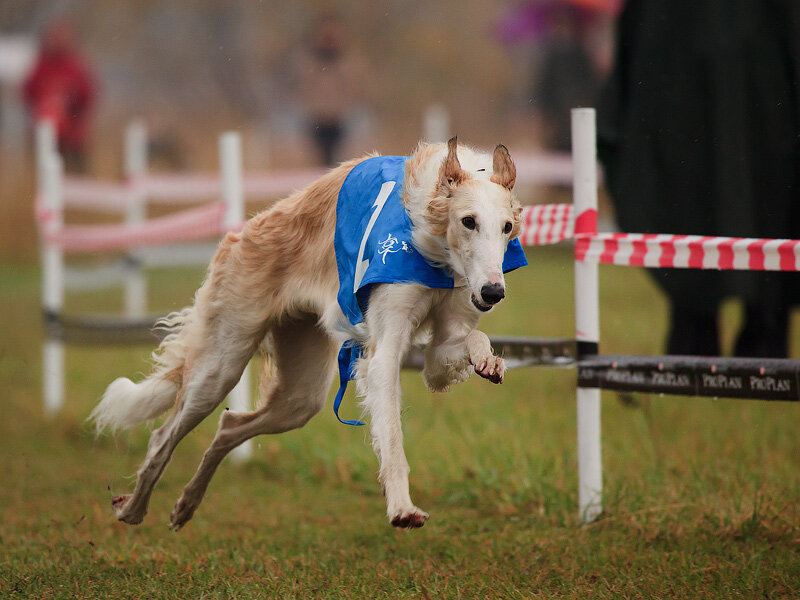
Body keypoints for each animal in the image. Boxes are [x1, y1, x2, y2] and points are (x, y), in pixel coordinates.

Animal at [90, 137, 524, 528]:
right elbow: (392, 437)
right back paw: (132, 509)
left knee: (228, 427)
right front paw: (402, 508)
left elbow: (469, 342)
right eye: (468, 221)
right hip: (220, 367)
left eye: (506, 228)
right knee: (163, 437)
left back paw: (186, 505)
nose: (494, 292)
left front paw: (489, 361)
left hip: (301, 396)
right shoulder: (383, 352)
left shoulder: (441, 348)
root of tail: (242, 232)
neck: (436, 250)